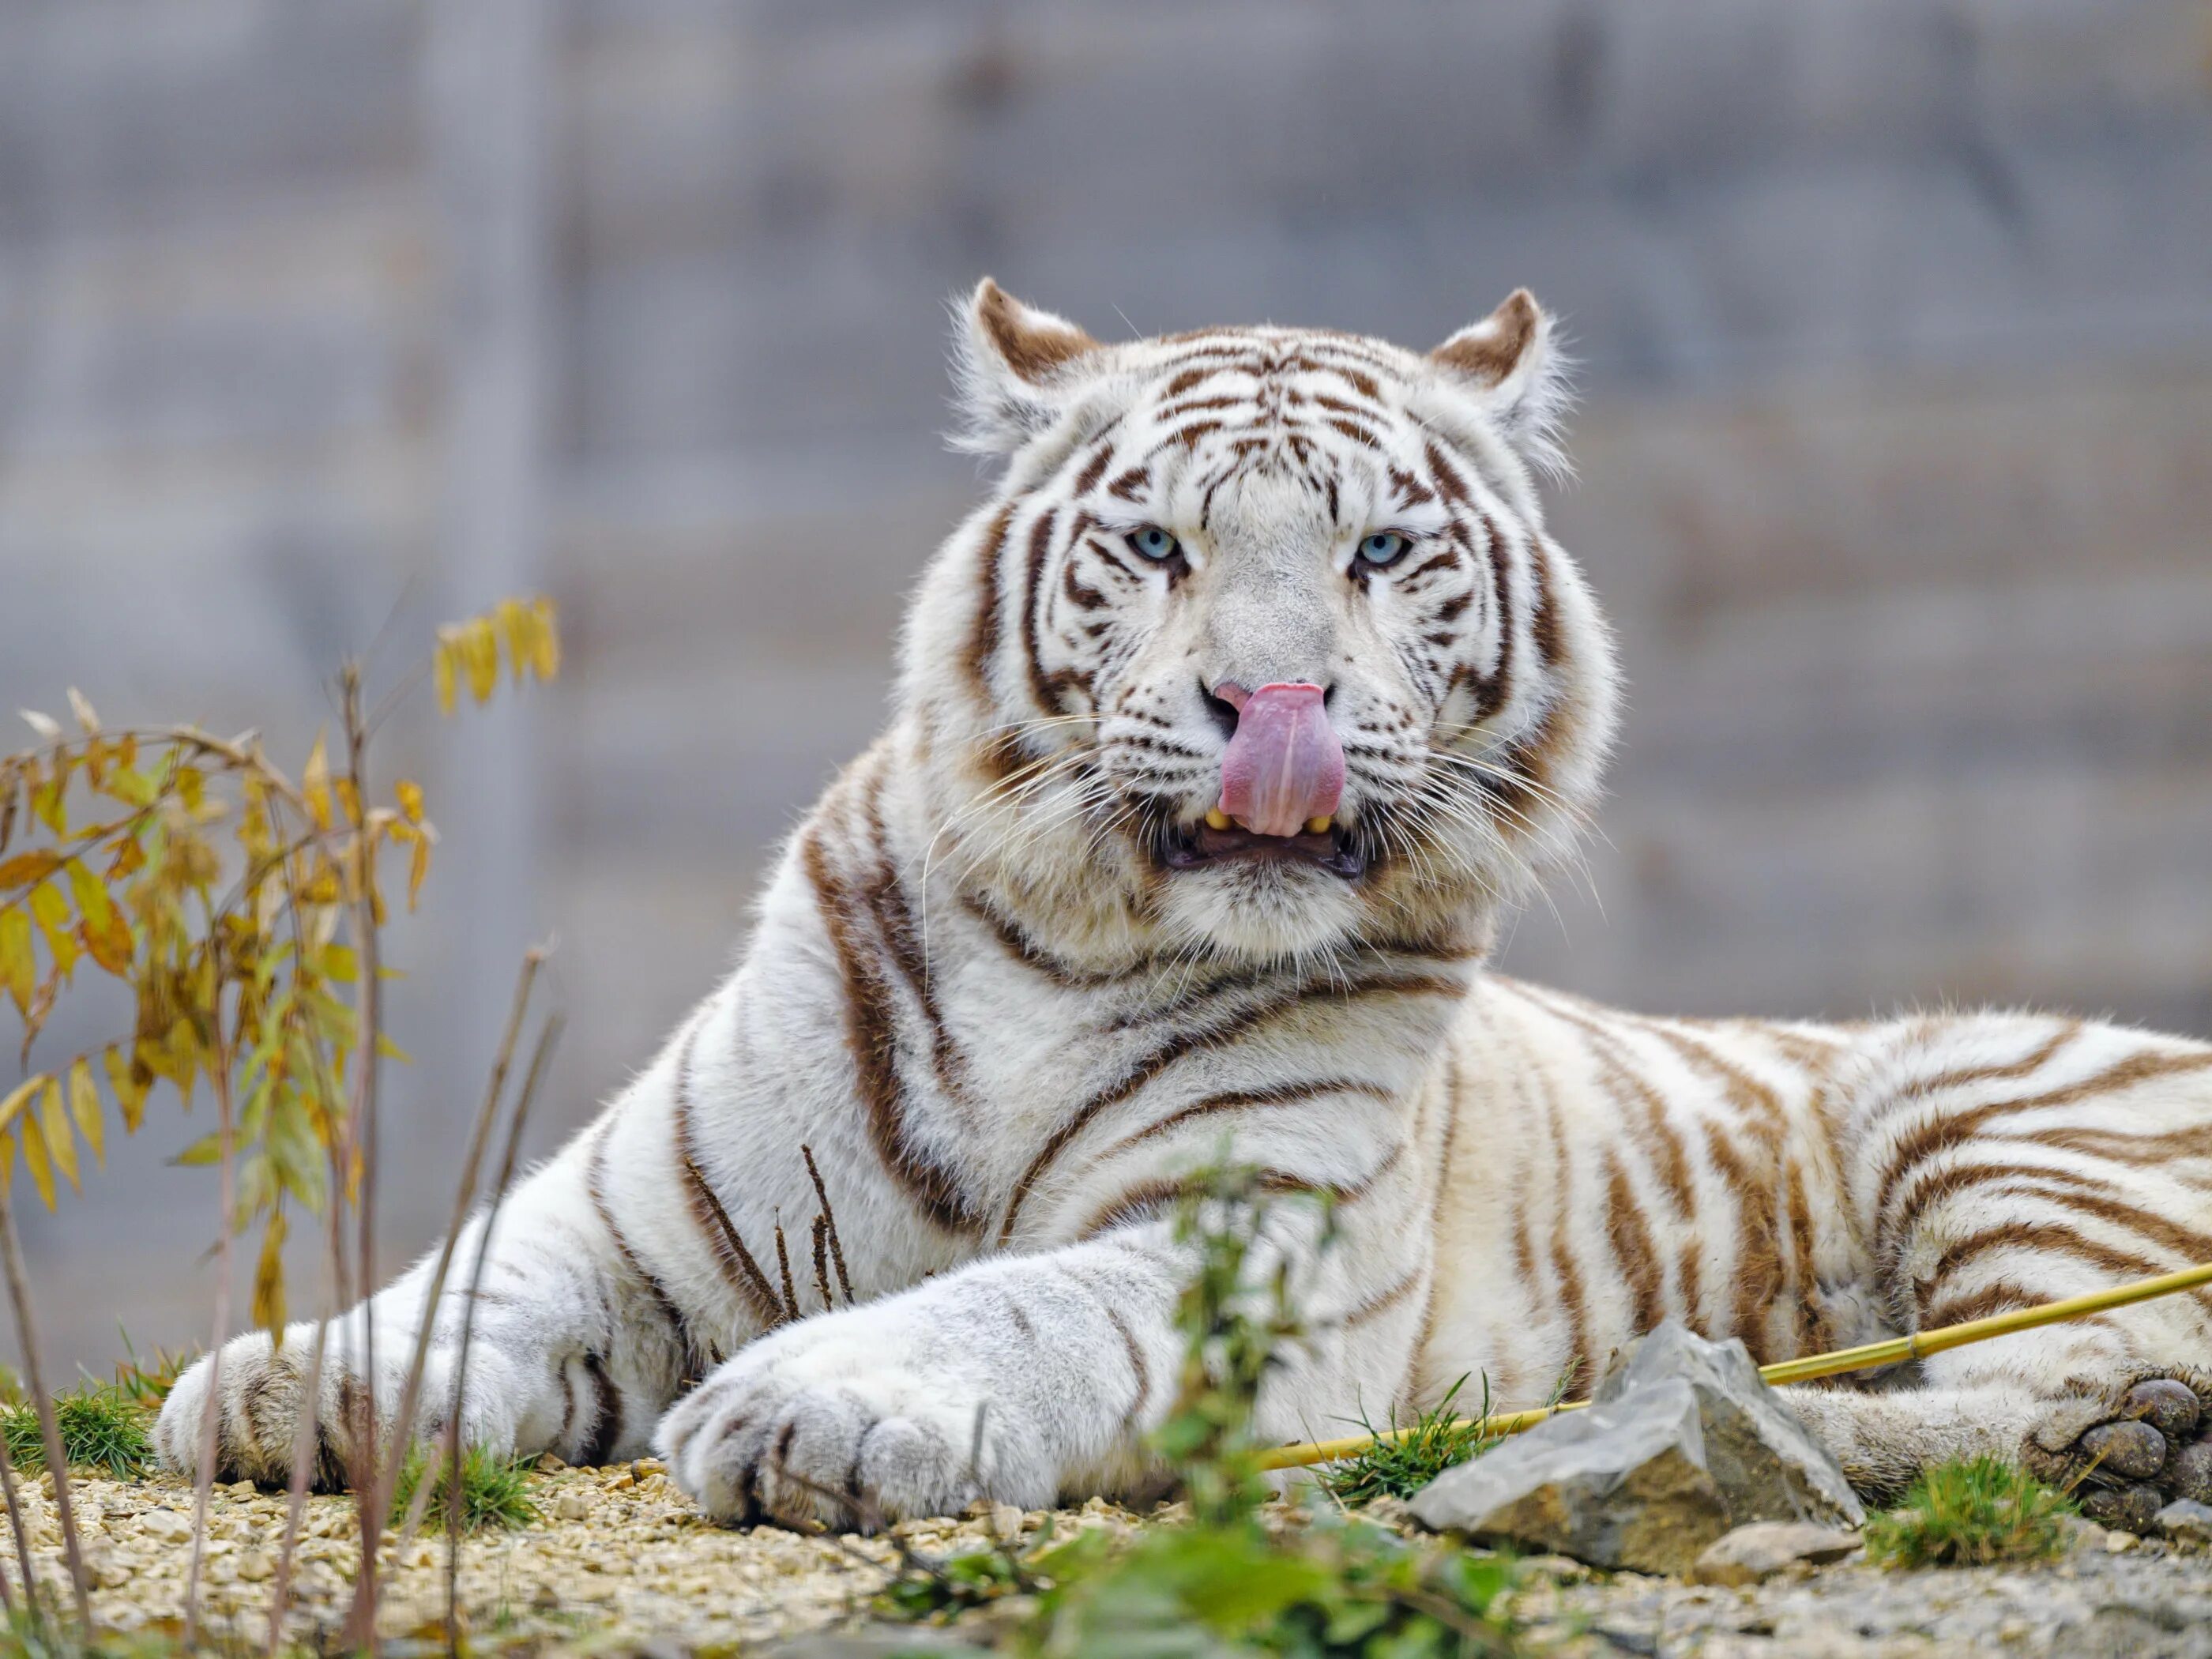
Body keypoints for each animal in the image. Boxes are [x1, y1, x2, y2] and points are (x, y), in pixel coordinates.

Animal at [160, 280, 2212, 1539]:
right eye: (1155, 545)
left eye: (1380, 551)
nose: (1273, 705)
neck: (1063, 952)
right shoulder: (641, 1217)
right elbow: (470, 1280)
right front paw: (283, 1386)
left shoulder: (1246, 1244)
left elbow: (1021, 1309)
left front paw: (806, 1409)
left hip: (1990, 1119)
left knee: (2080, 1375)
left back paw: (1730, 1411)